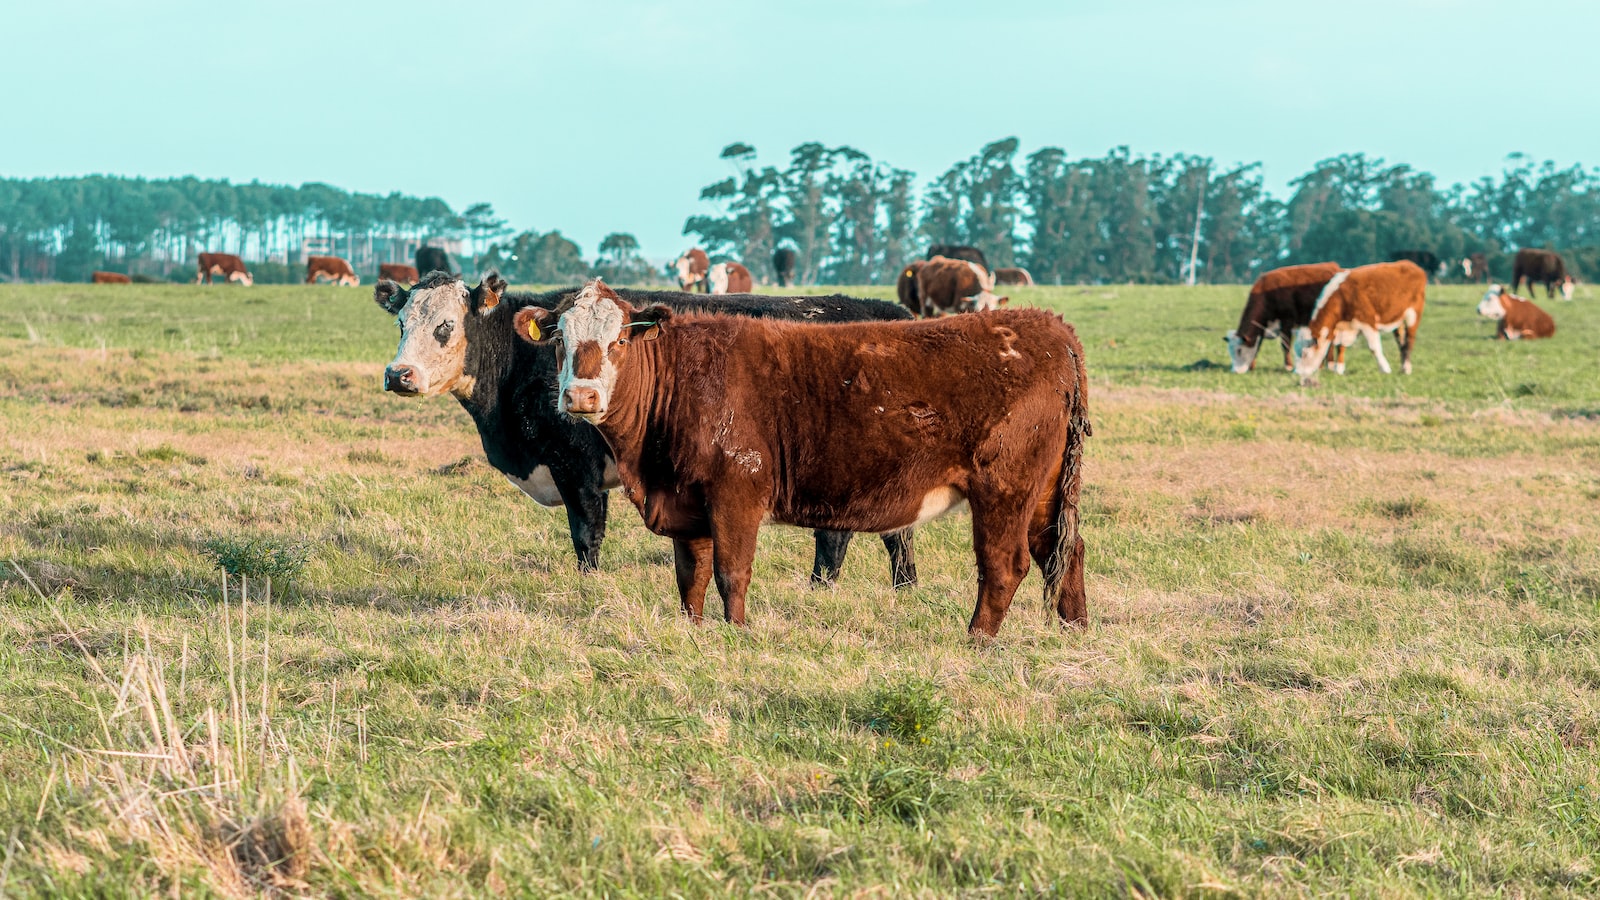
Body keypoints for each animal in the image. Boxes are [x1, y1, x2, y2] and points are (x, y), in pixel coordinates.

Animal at [374, 269, 921, 586]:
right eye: (401, 323)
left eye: (445, 325)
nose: (398, 375)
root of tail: (885, 310)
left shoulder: (577, 467)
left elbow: (586, 535)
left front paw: (588, 589)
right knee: (893, 533)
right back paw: (903, 588)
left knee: (842, 535)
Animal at [518, 277, 1094, 634]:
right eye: (560, 340)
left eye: (618, 340)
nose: (581, 397)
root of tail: (1050, 328)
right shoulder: (686, 499)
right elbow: (690, 575)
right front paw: (693, 629)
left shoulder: (737, 492)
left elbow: (731, 570)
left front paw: (737, 634)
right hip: (1044, 490)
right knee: (1064, 550)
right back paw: (1072, 630)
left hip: (1004, 486)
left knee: (1005, 563)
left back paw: (976, 639)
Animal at [1286, 256, 1427, 381]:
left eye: (1305, 353)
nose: (1297, 372)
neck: (1342, 298)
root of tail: (1410, 264)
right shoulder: (1342, 327)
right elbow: (1340, 346)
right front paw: (1339, 369)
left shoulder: (1367, 321)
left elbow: (1374, 347)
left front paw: (1385, 369)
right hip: (1398, 318)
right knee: (1401, 342)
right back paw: (1403, 367)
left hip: (1413, 315)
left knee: (1409, 341)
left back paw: (1406, 368)